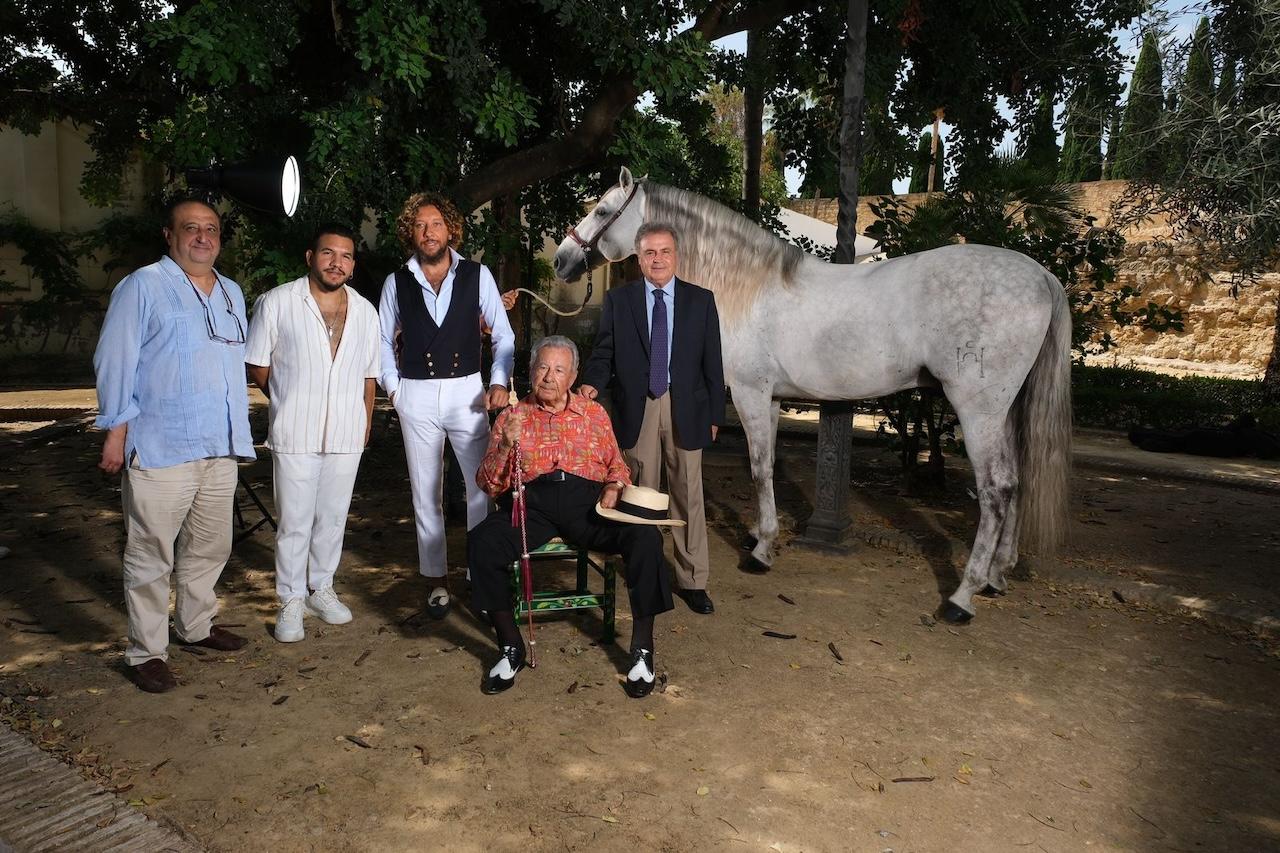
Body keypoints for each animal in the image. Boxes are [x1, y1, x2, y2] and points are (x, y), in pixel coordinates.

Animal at [550, 167, 1070, 617]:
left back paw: (963, 596)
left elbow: (760, 468)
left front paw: (761, 550)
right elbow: (766, 466)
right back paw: (997, 577)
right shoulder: (773, 398)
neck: (746, 287)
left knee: (996, 490)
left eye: (602, 210)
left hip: (978, 410)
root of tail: (1042, 276)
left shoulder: (751, 393)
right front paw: (759, 534)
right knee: (1016, 481)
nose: (560, 259)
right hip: (1005, 410)